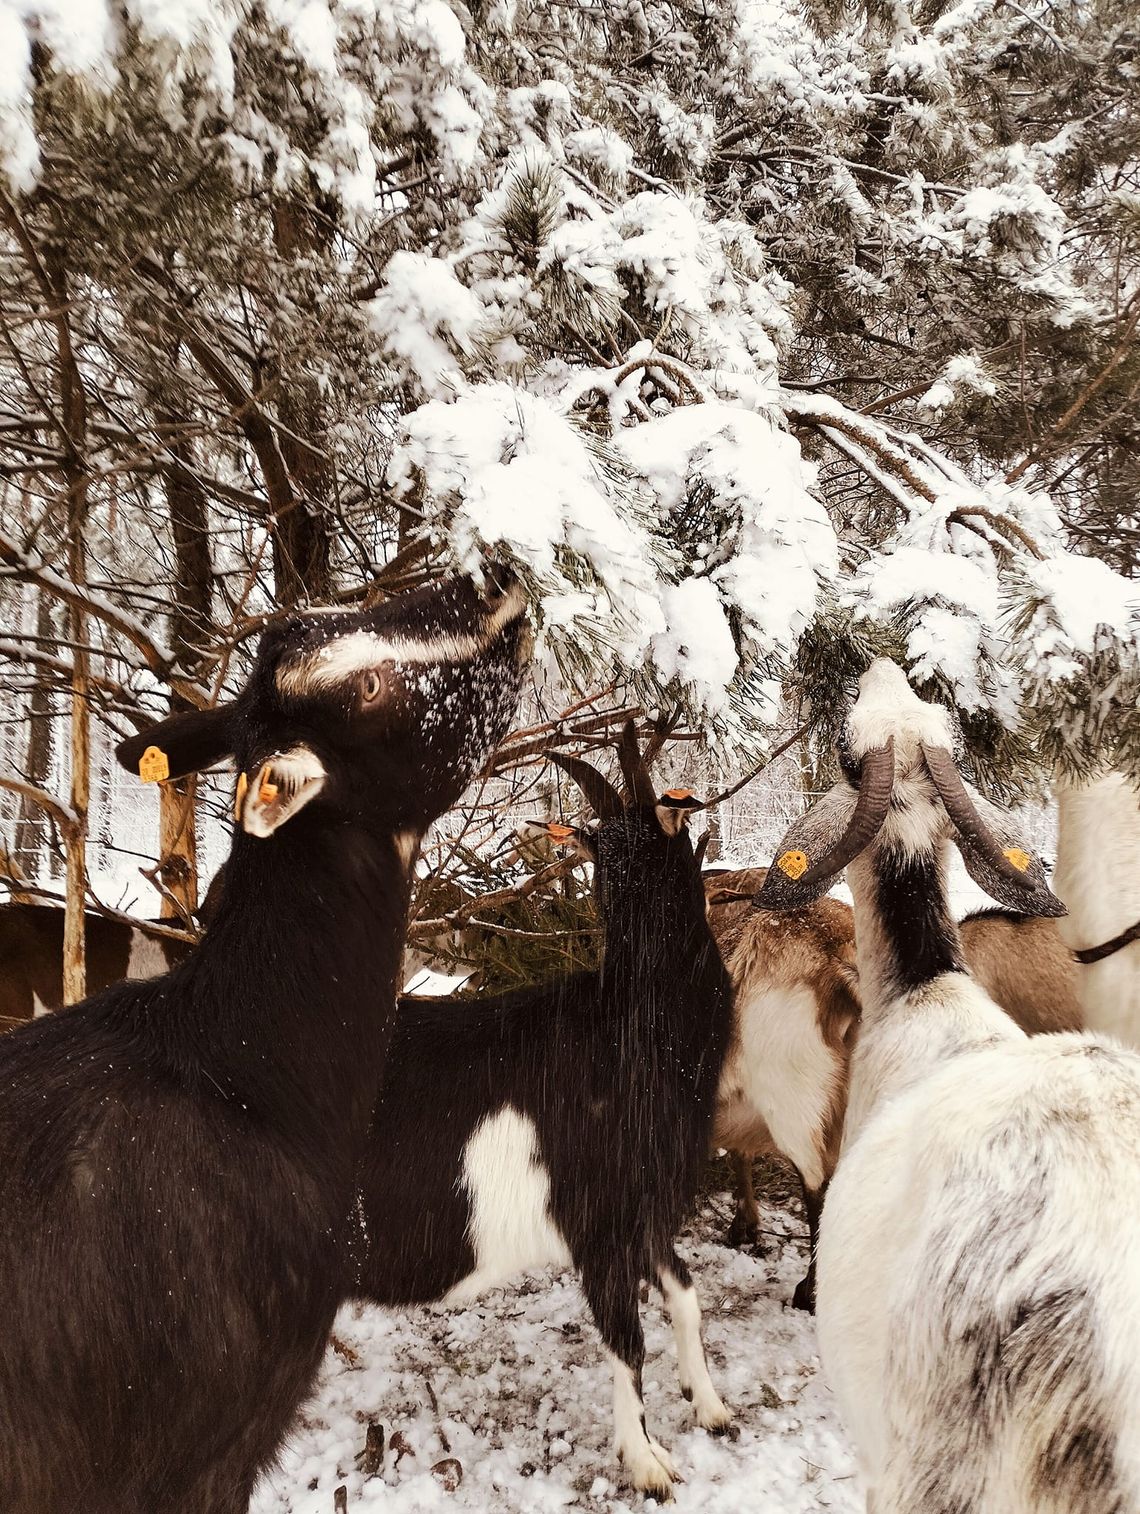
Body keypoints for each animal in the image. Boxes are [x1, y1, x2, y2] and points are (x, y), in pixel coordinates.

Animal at [351, 723, 732, 1501]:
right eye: (604, 859)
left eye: (656, 846)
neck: (627, 1027)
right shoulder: (598, 1222)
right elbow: (627, 1341)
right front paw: (646, 1462)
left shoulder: (646, 1211)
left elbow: (686, 1296)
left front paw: (709, 1406)